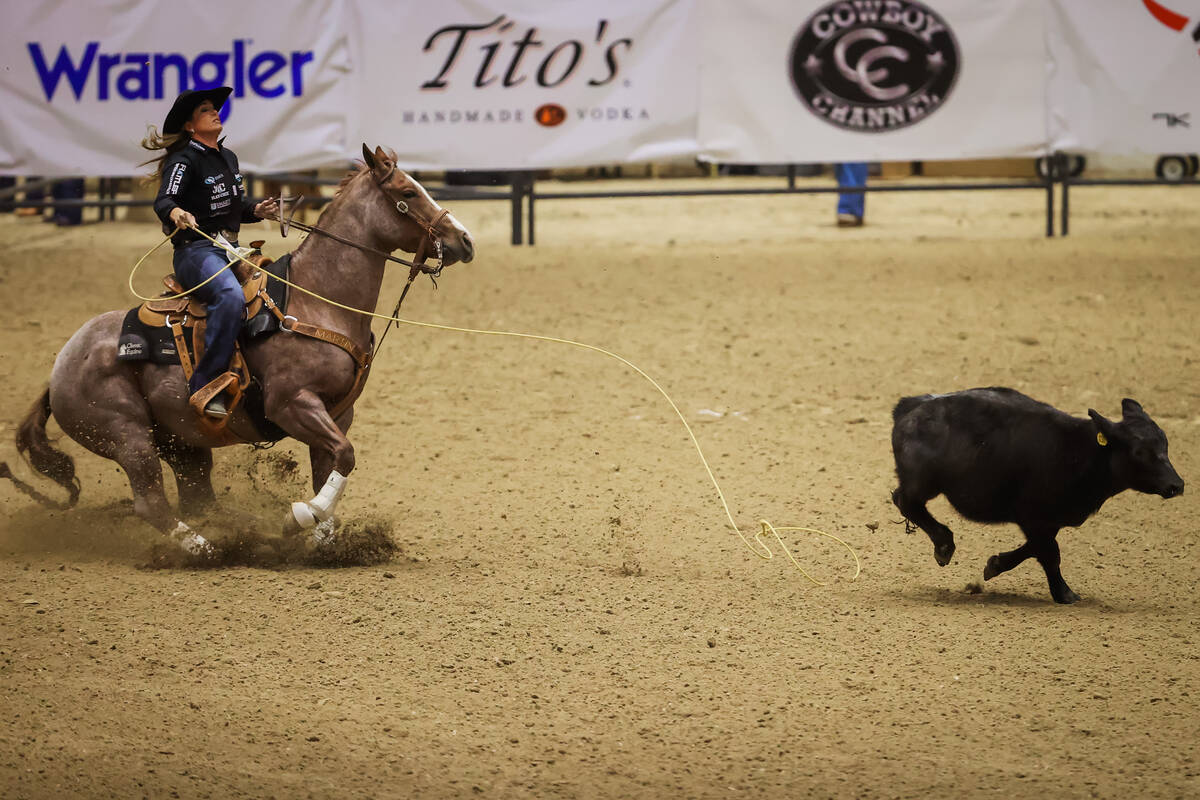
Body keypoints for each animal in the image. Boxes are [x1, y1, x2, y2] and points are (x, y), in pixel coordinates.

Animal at [4, 143, 472, 556]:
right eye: (408, 193)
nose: (464, 240)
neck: (317, 300)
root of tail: (58, 370)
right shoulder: (293, 405)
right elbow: (346, 456)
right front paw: (299, 517)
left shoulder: (339, 413)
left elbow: (334, 465)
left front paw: (324, 540)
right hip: (127, 437)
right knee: (150, 502)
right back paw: (206, 549)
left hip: (182, 445)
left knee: (198, 498)